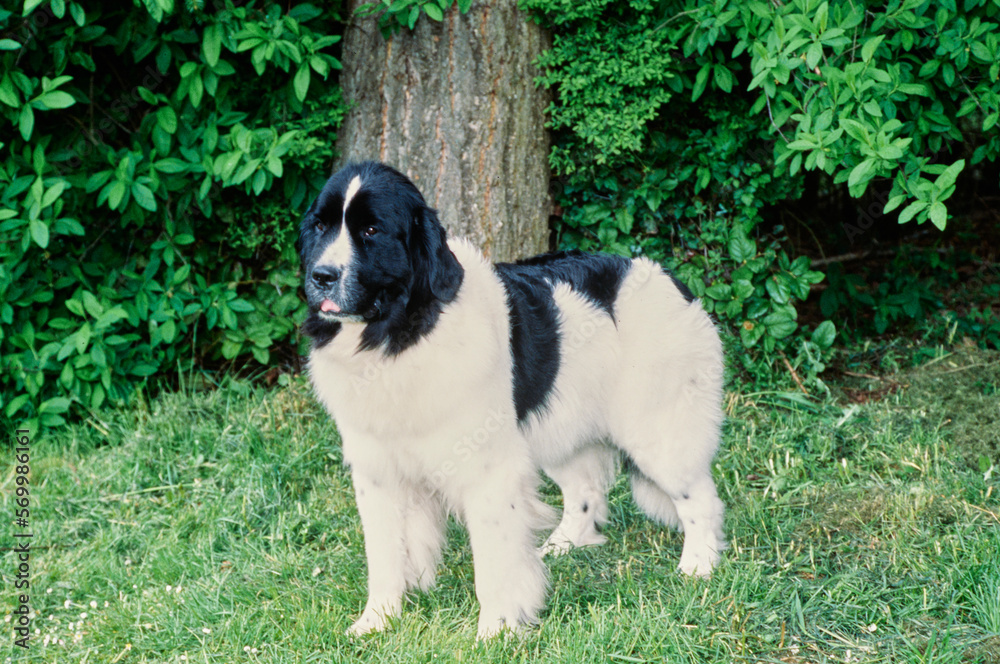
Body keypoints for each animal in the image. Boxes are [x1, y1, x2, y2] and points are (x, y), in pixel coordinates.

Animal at [296, 161, 728, 640]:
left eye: (371, 230)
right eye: (321, 226)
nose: (321, 276)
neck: (402, 333)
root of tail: (671, 280)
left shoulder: (488, 468)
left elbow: (492, 561)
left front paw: (496, 632)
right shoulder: (377, 469)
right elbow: (384, 555)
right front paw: (377, 621)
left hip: (656, 429)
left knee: (699, 497)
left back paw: (698, 567)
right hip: (560, 425)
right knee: (585, 491)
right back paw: (560, 546)